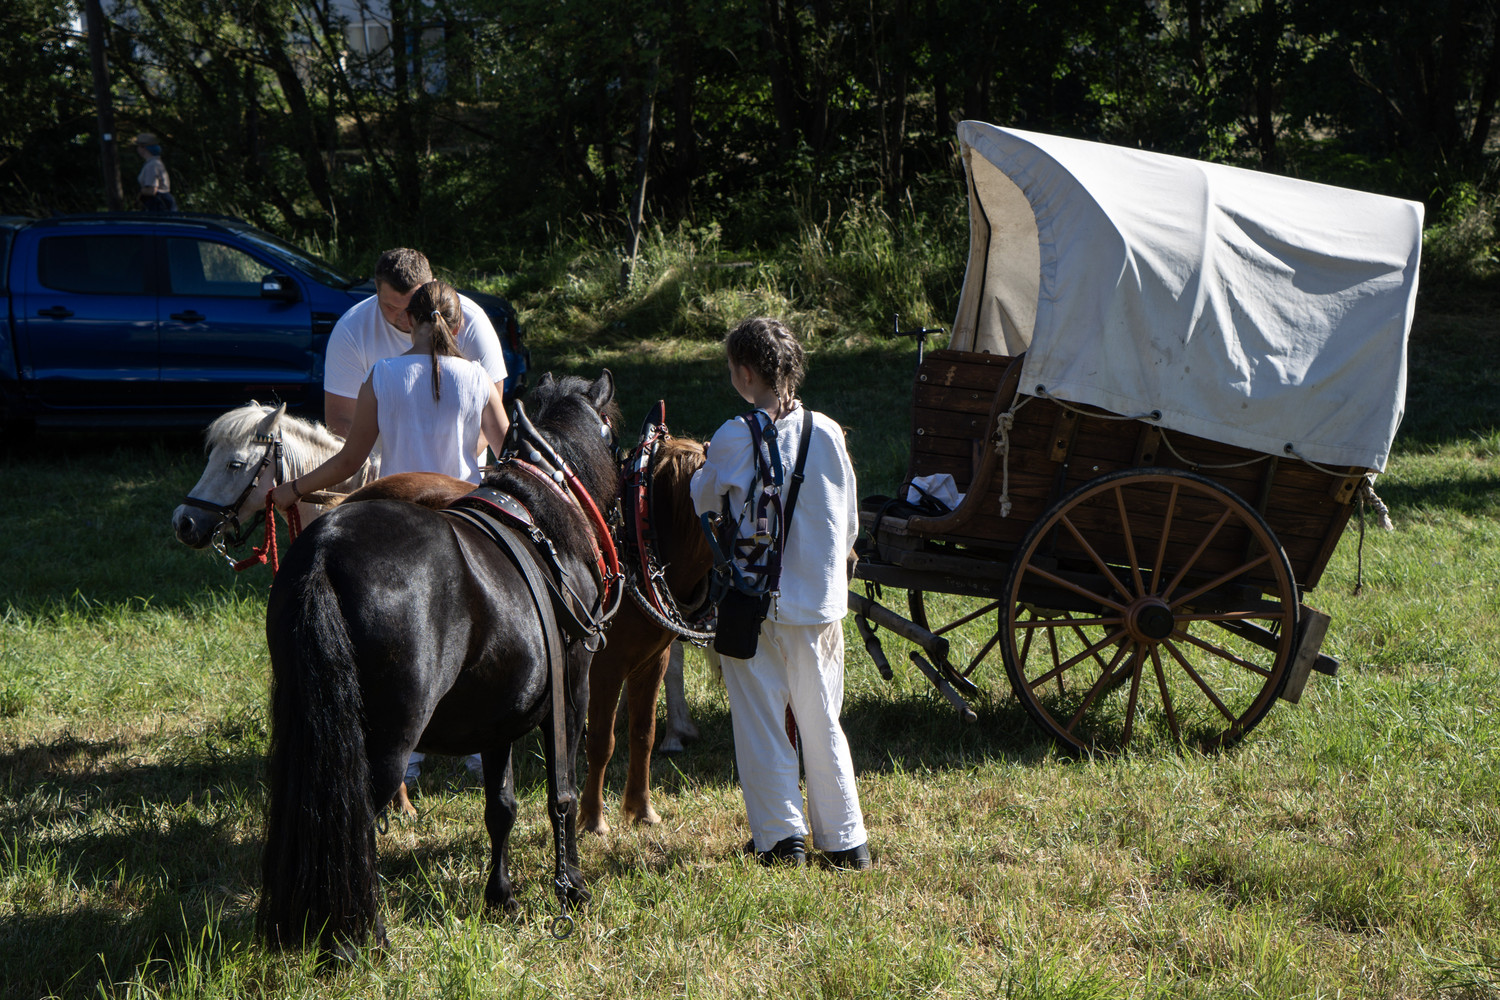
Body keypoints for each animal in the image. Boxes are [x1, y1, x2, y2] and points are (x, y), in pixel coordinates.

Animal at [258, 371, 621, 957]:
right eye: (612, 437)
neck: (543, 520)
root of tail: (324, 555)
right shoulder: (571, 696)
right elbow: (561, 795)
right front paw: (572, 888)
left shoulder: (498, 716)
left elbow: (501, 807)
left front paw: (501, 896)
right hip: (384, 743)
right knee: (355, 816)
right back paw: (361, 937)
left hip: (306, 724)